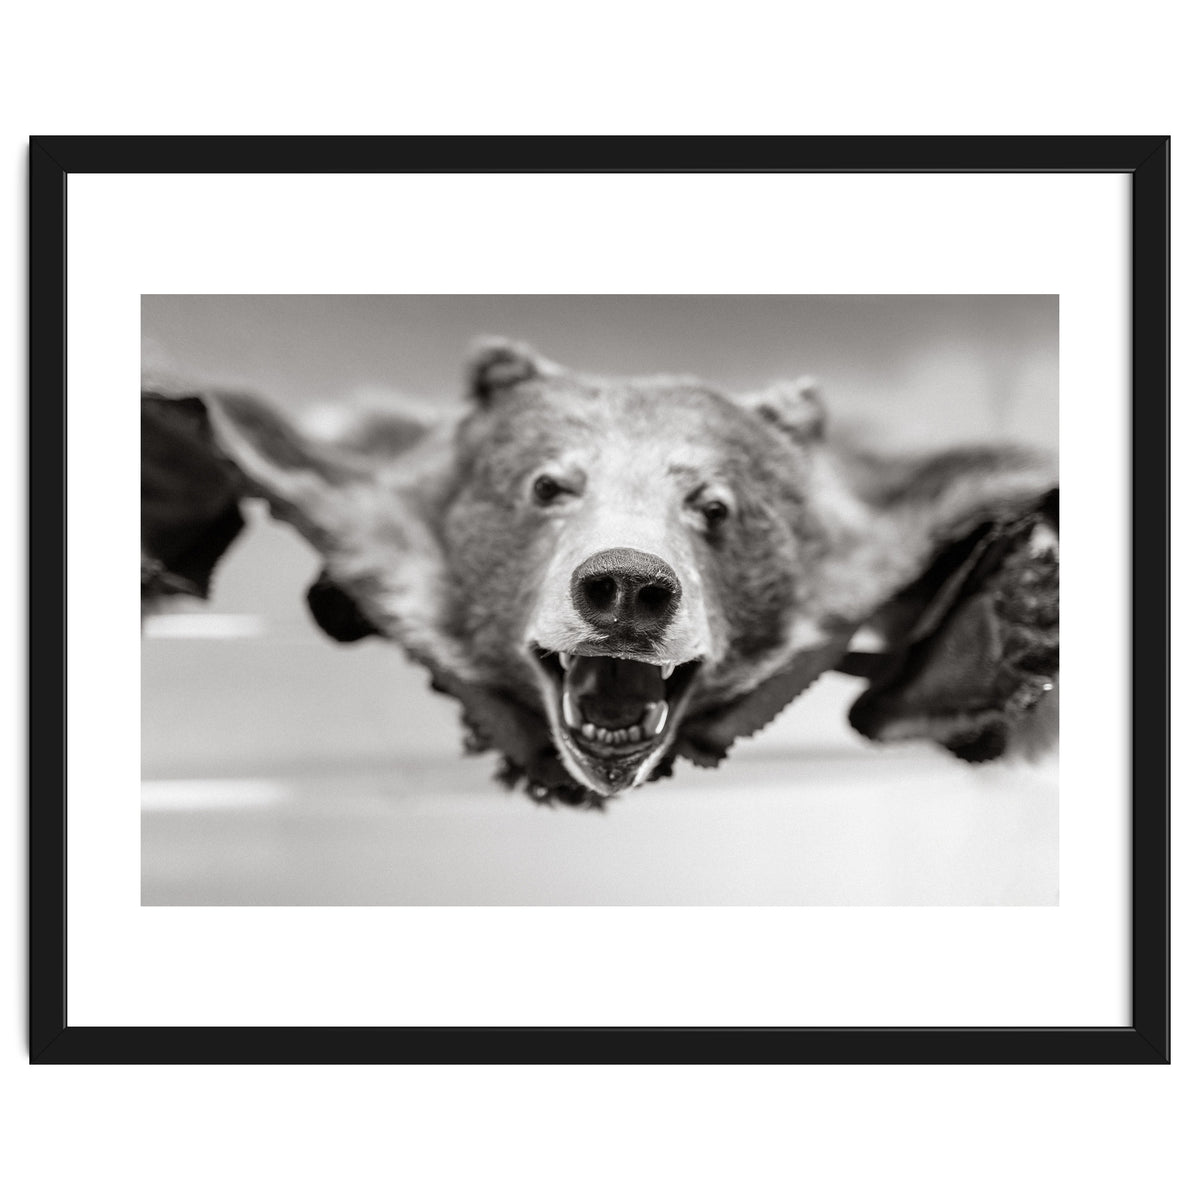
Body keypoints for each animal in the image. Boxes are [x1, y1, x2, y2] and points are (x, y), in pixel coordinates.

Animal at [143, 339, 1059, 807]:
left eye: (714, 504)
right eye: (548, 485)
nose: (626, 586)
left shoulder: (896, 525)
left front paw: (1020, 620)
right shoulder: (344, 500)